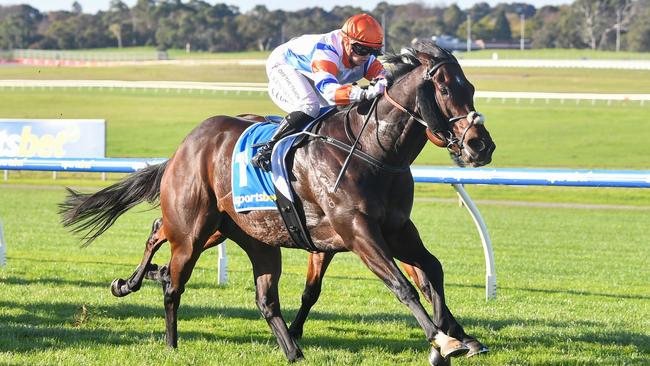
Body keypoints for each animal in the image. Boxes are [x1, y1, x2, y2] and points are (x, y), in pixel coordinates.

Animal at [62, 41, 492, 364]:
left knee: (252, 292)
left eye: (471, 88)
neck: (374, 152)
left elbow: (431, 271)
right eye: (446, 90)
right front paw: (443, 340)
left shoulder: (396, 229)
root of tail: (185, 145)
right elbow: (402, 284)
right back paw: (168, 338)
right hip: (193, 230)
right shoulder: (357, 231)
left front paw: (457, 336)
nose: (480, 145)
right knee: (173, 278)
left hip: (242, 234)